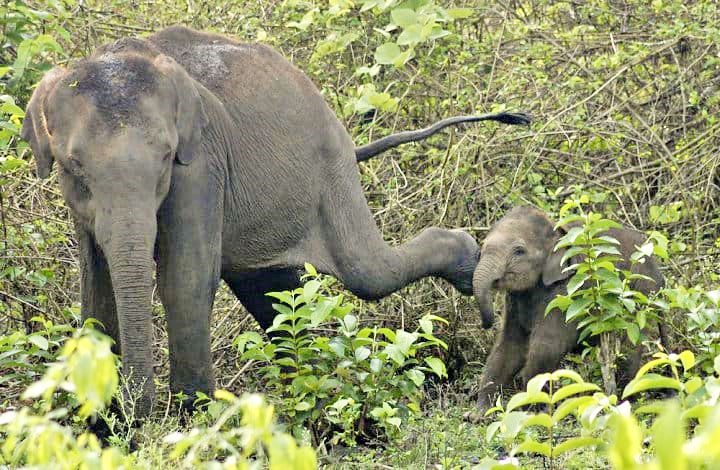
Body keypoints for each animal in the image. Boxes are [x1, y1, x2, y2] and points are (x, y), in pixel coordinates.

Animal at [22, 26, 528, 414]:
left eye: (167, 156)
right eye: (73, 165)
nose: (134, 410)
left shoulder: (202, 165)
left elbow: (185, 278)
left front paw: (190, 417)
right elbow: (96, 283)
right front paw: (102, 423)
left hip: (331, 169)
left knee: (366, 272)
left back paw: (469, 263)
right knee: (271, 292)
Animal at [472, 206, 664, 412]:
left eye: (519, 251)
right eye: (482, 248)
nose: (486, 323)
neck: (555, 229)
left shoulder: (568, 292)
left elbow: (547, 346)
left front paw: (531, 408)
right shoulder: (515, 299)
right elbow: (509, 346)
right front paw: (481, 412)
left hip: (642, 293)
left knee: (631, 341)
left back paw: (625, 398)